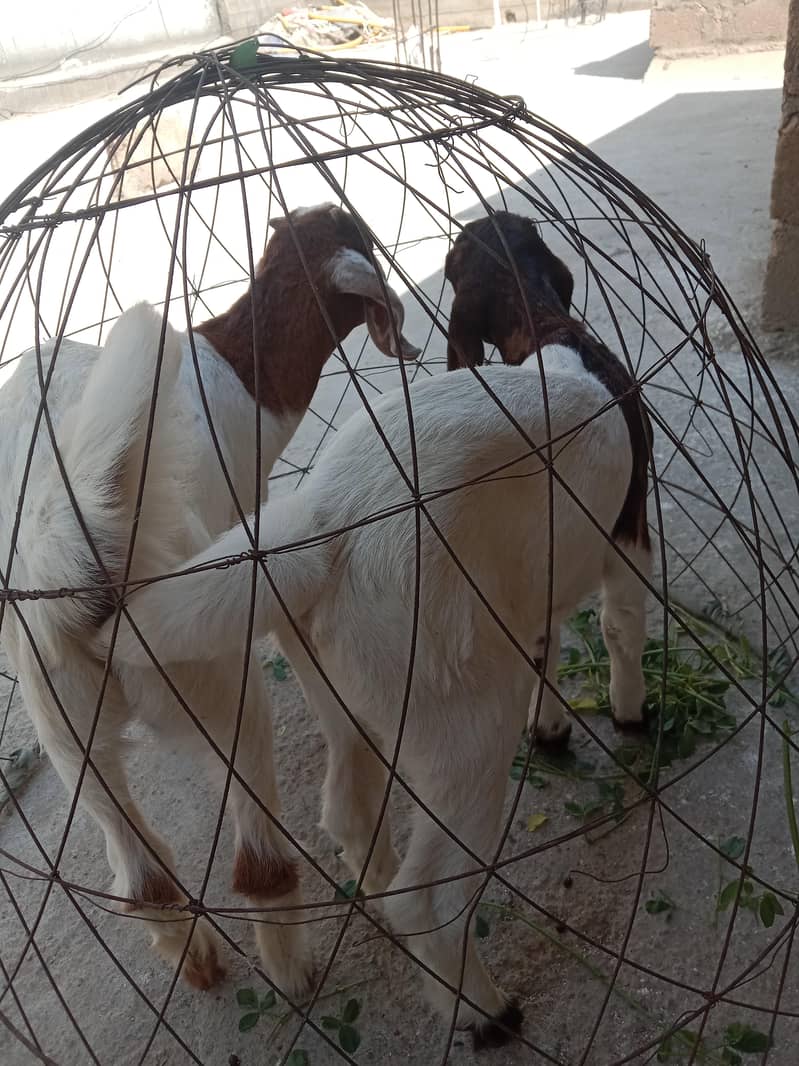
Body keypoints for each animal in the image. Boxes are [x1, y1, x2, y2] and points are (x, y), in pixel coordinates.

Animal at [0, 202, 417, 997]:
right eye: (362, 236)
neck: (239, 363)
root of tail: (73, 558)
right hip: (217, 684)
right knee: (259, 861)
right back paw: (292, 968)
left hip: (66, 730)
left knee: (144, 880)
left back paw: (192, 957)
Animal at [445, 211, 652, 747]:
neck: (544, 322)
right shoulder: (633, 514)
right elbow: (622, 622)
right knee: (605, 623)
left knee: (541, 641)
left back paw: (547, 724)